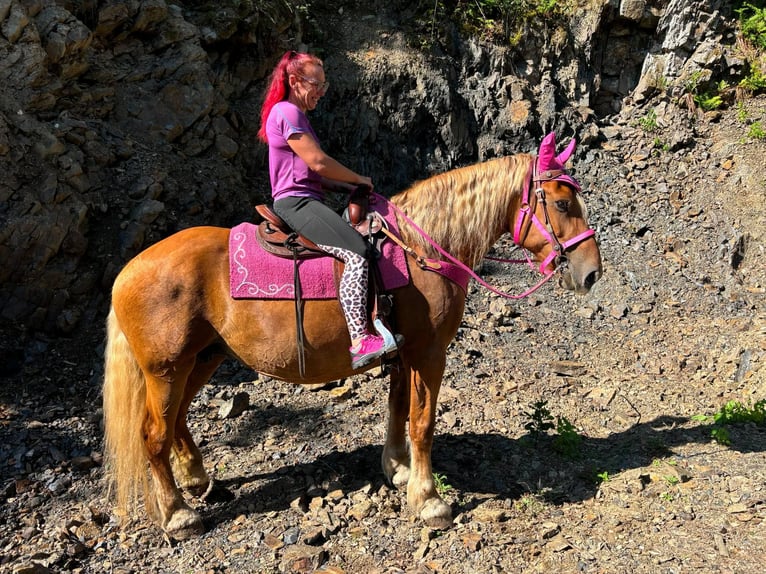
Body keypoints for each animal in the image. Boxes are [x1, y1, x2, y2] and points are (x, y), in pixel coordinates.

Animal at [102, 133, 602, 540]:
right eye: (561, 204)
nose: (591, 273)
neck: (419, 250)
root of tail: (126, 272)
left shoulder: (404, 355)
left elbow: (398, 411)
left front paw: (397, 470)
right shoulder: (429, 353)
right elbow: (423, 423)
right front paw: (429, 500)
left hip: (203, 358)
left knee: (177, 422)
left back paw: (198, 481)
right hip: (167, 369)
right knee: (153, 434)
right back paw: (178, 515)